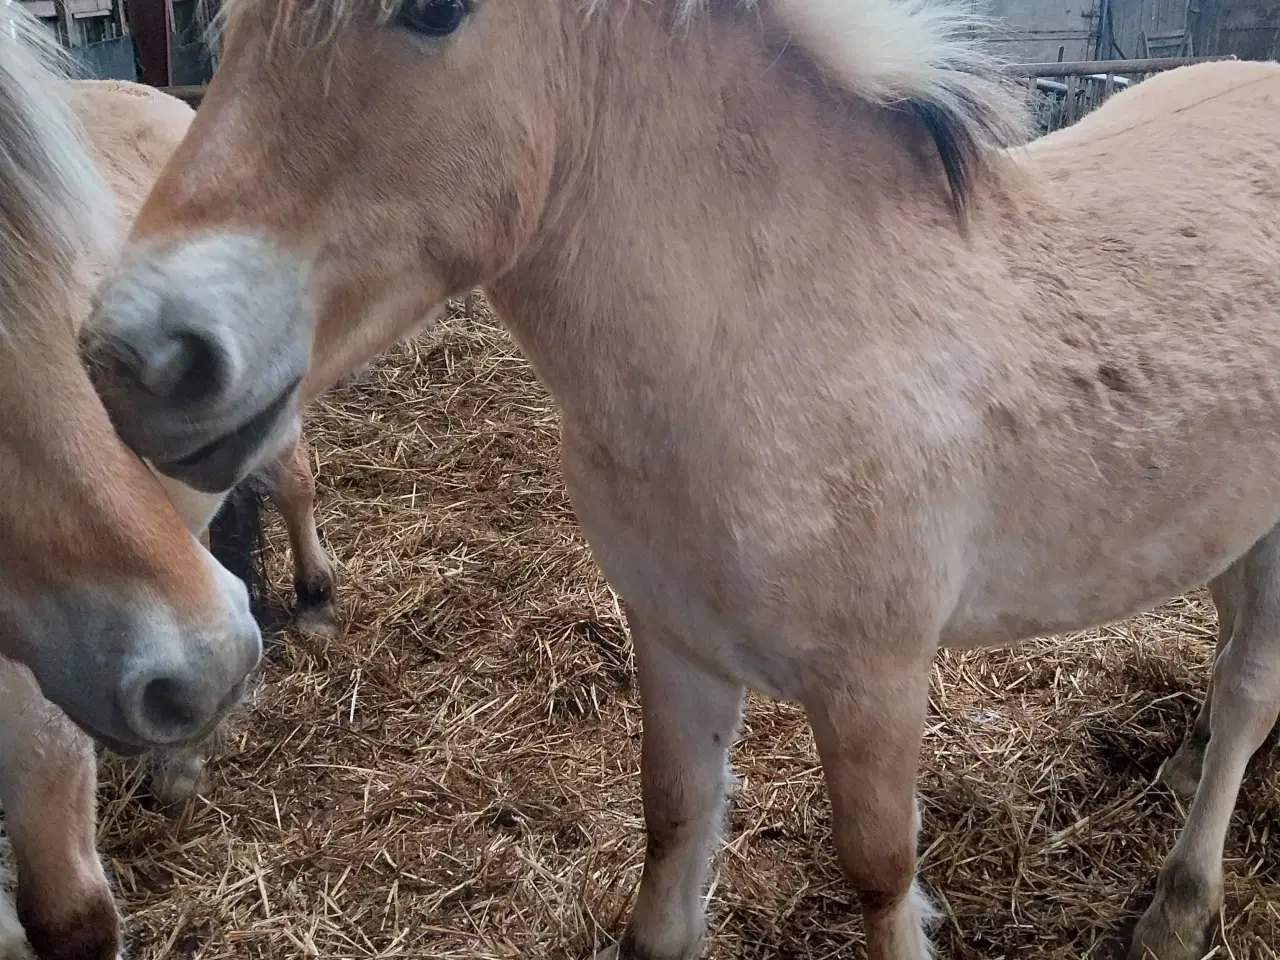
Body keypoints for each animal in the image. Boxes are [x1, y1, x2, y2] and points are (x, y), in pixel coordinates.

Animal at [85, 1, 1280, 960]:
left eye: (431, 9)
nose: (137, 360)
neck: (778, 340)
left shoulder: (876, 683)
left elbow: (879, 872)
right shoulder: (675, 643)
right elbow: (672, 827)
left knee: (1248, 690)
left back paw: (1179, 906)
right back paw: (1181, 769)